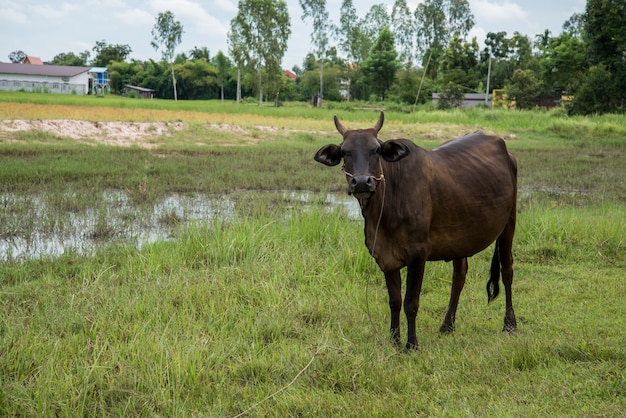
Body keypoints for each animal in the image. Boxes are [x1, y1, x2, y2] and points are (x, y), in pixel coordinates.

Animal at [314, 112, 516, 350]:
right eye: (345, 152)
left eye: (377, 150)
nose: (362, 182)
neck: (385, 209)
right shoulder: (384, 256)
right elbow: (394, 301)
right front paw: (394, 340)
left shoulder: (418, 253)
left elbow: (411, 302)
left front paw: (411, 344)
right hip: (460, 239)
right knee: (459, 276)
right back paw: (447, 325)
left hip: (509, 223)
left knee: (507, 270)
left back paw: (510, 324)